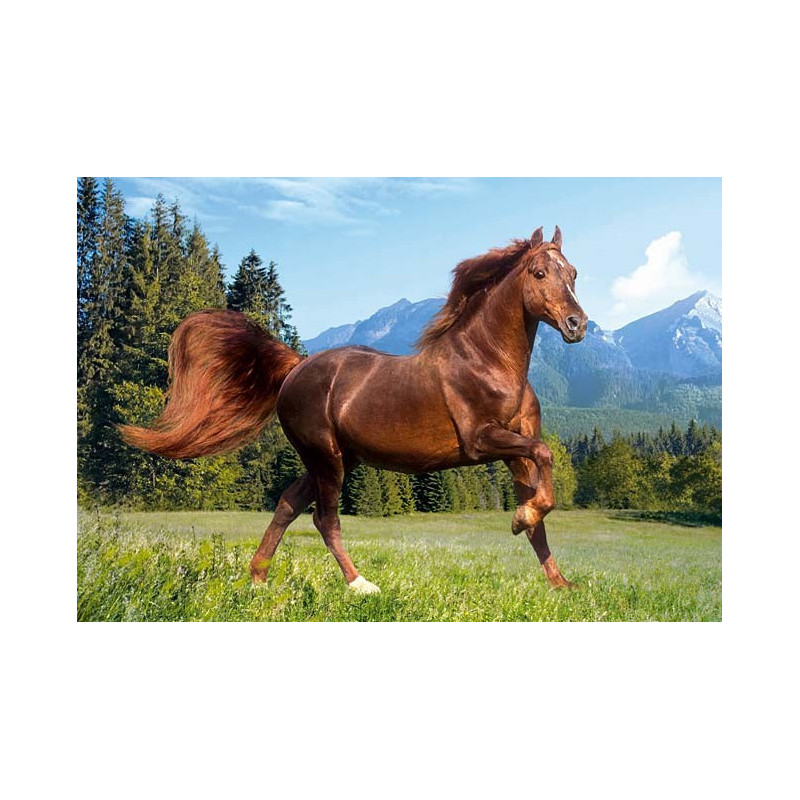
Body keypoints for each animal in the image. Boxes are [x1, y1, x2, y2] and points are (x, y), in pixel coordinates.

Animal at [120, 226, 588, 594]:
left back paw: (257, 578)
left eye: (574, 274)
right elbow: (545, 457)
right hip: (326, 458)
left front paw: (560, 581)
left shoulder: (514, 449)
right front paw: (519, 520)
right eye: (539, 273)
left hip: (331, 458)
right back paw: (359, 583)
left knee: (288, 504)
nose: (577, 325)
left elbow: (542, 506)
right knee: (324, 519)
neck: (488, 362)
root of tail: (296, 368)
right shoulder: (482, 440)